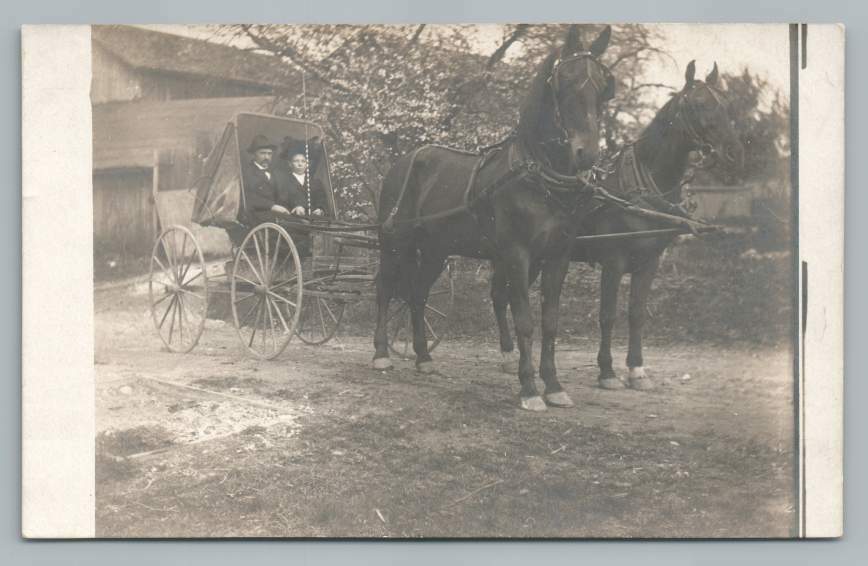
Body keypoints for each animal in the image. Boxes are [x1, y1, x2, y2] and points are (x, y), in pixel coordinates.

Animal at [371, 25, 615, 411]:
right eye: (563, 81)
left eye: (604, 86)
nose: (587, 154)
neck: (538, 175)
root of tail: (405, 160)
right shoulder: (517, 254)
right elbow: (525, 321)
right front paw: (529, 388)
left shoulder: (557, 256)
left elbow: (550, 321)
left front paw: (554, 385)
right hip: (395, 242)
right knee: (385, 288)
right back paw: (381, 353)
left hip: (436, 250)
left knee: (418, 294)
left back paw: (423, 357)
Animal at [491, 60, 745, 391]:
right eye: (699, 104)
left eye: (726, 103)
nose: (735, 154)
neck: (641, 187)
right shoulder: (613, 261)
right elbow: (607, 315)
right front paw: (607, 371)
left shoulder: (650, 262)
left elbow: (636, 314)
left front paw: (637, 369)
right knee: (500, 295)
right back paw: (509, 355)